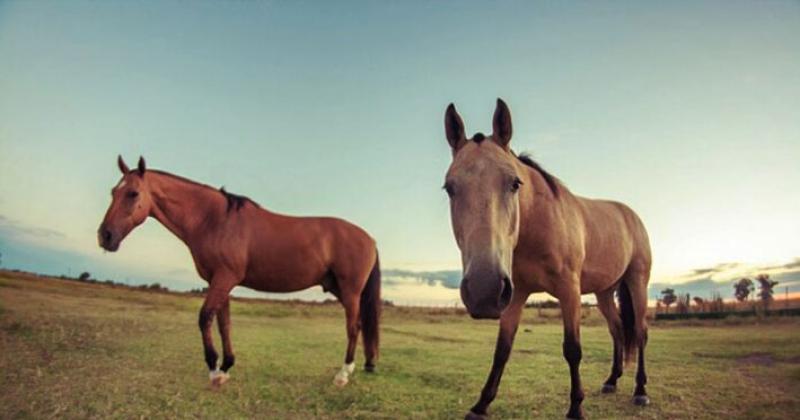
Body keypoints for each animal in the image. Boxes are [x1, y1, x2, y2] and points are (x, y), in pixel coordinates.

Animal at [97, 157, 382, 388]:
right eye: (113, 192)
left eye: (133, 193)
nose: (105, 236)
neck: (214, 220)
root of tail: (369, 239)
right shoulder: (220, 281)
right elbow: (224, 323)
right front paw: (225, 368)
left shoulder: (224, 279)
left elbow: (205, 318)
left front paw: (213, 370)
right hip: (337, 288)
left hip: (350, 291)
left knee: (353, 327)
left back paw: (342, 375)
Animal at [444, 100, 648, 418]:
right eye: (449, 188)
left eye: (515, 184)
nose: (482, 290)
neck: (540, 225)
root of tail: (631, 215)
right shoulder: (514, 295)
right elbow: (502, 350)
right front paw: (481, 405)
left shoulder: (569, 291)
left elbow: (572, 349)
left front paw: (575, 408)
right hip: (604, 293)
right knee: (617, 329)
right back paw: (612, 381)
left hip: (637, 283)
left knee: (639, 333)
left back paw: (640, 391)